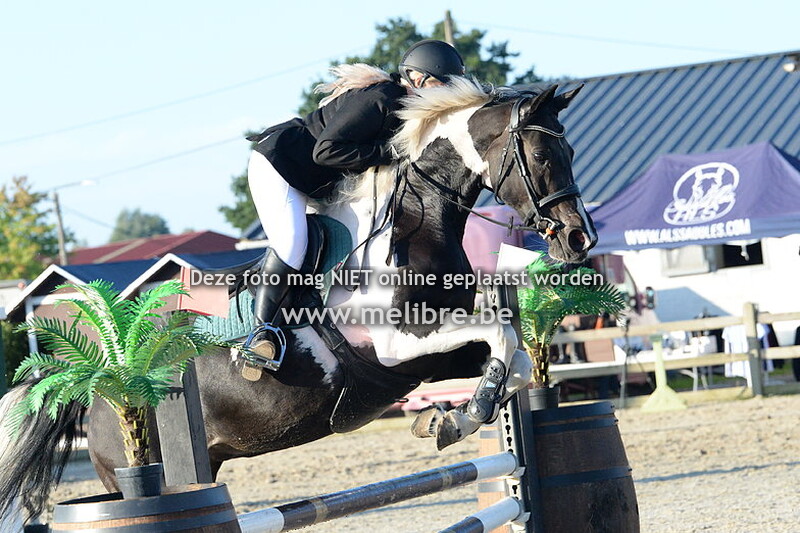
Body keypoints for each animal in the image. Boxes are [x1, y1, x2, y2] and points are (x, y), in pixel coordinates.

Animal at [0, 78, 597, 524]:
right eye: (541, 154)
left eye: (570, 150)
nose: (578, 240)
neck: (417, 216)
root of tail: (99, 390)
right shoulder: (395, 342)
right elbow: (501, 332)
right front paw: (459, 417)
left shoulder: (428, 356)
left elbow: (515, 356)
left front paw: (448, 420)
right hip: (133, 476)